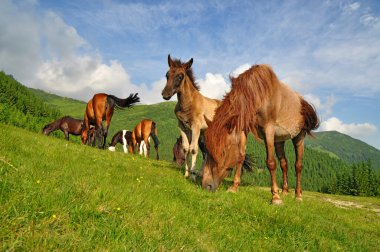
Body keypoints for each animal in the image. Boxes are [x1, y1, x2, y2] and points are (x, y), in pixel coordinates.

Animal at [200, 64, 320, 204]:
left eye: (223, 151)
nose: (206, 185)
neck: (258, 95)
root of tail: (303, 102)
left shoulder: (268, 129)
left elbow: (271, 163)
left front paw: (275, 197)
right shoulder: (244, 128)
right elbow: (240, 156)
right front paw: (234, 187)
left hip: (299, 136)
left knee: (298, 166)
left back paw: (298, 195)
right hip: (279, 141)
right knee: (284, 164)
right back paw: (285, 191)